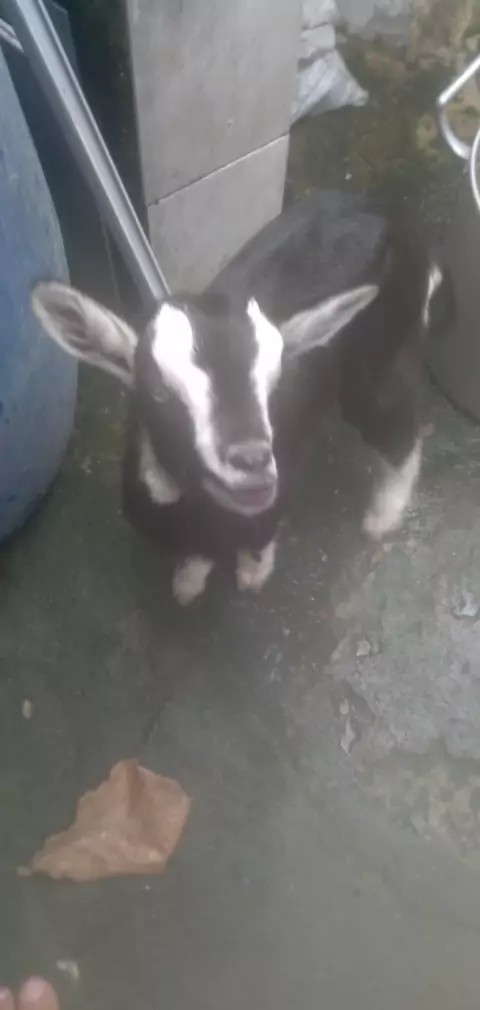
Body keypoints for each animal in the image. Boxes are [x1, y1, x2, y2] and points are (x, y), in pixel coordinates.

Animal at [32, 190, 452, 603]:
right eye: (158, 391)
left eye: (275, 381)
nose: (252, 462)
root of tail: (397, 221)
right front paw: (188, 582)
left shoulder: (270, 504)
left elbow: (257, 543)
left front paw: (251, 574)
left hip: (379, 358)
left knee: (397, 427)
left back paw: (383, 516)